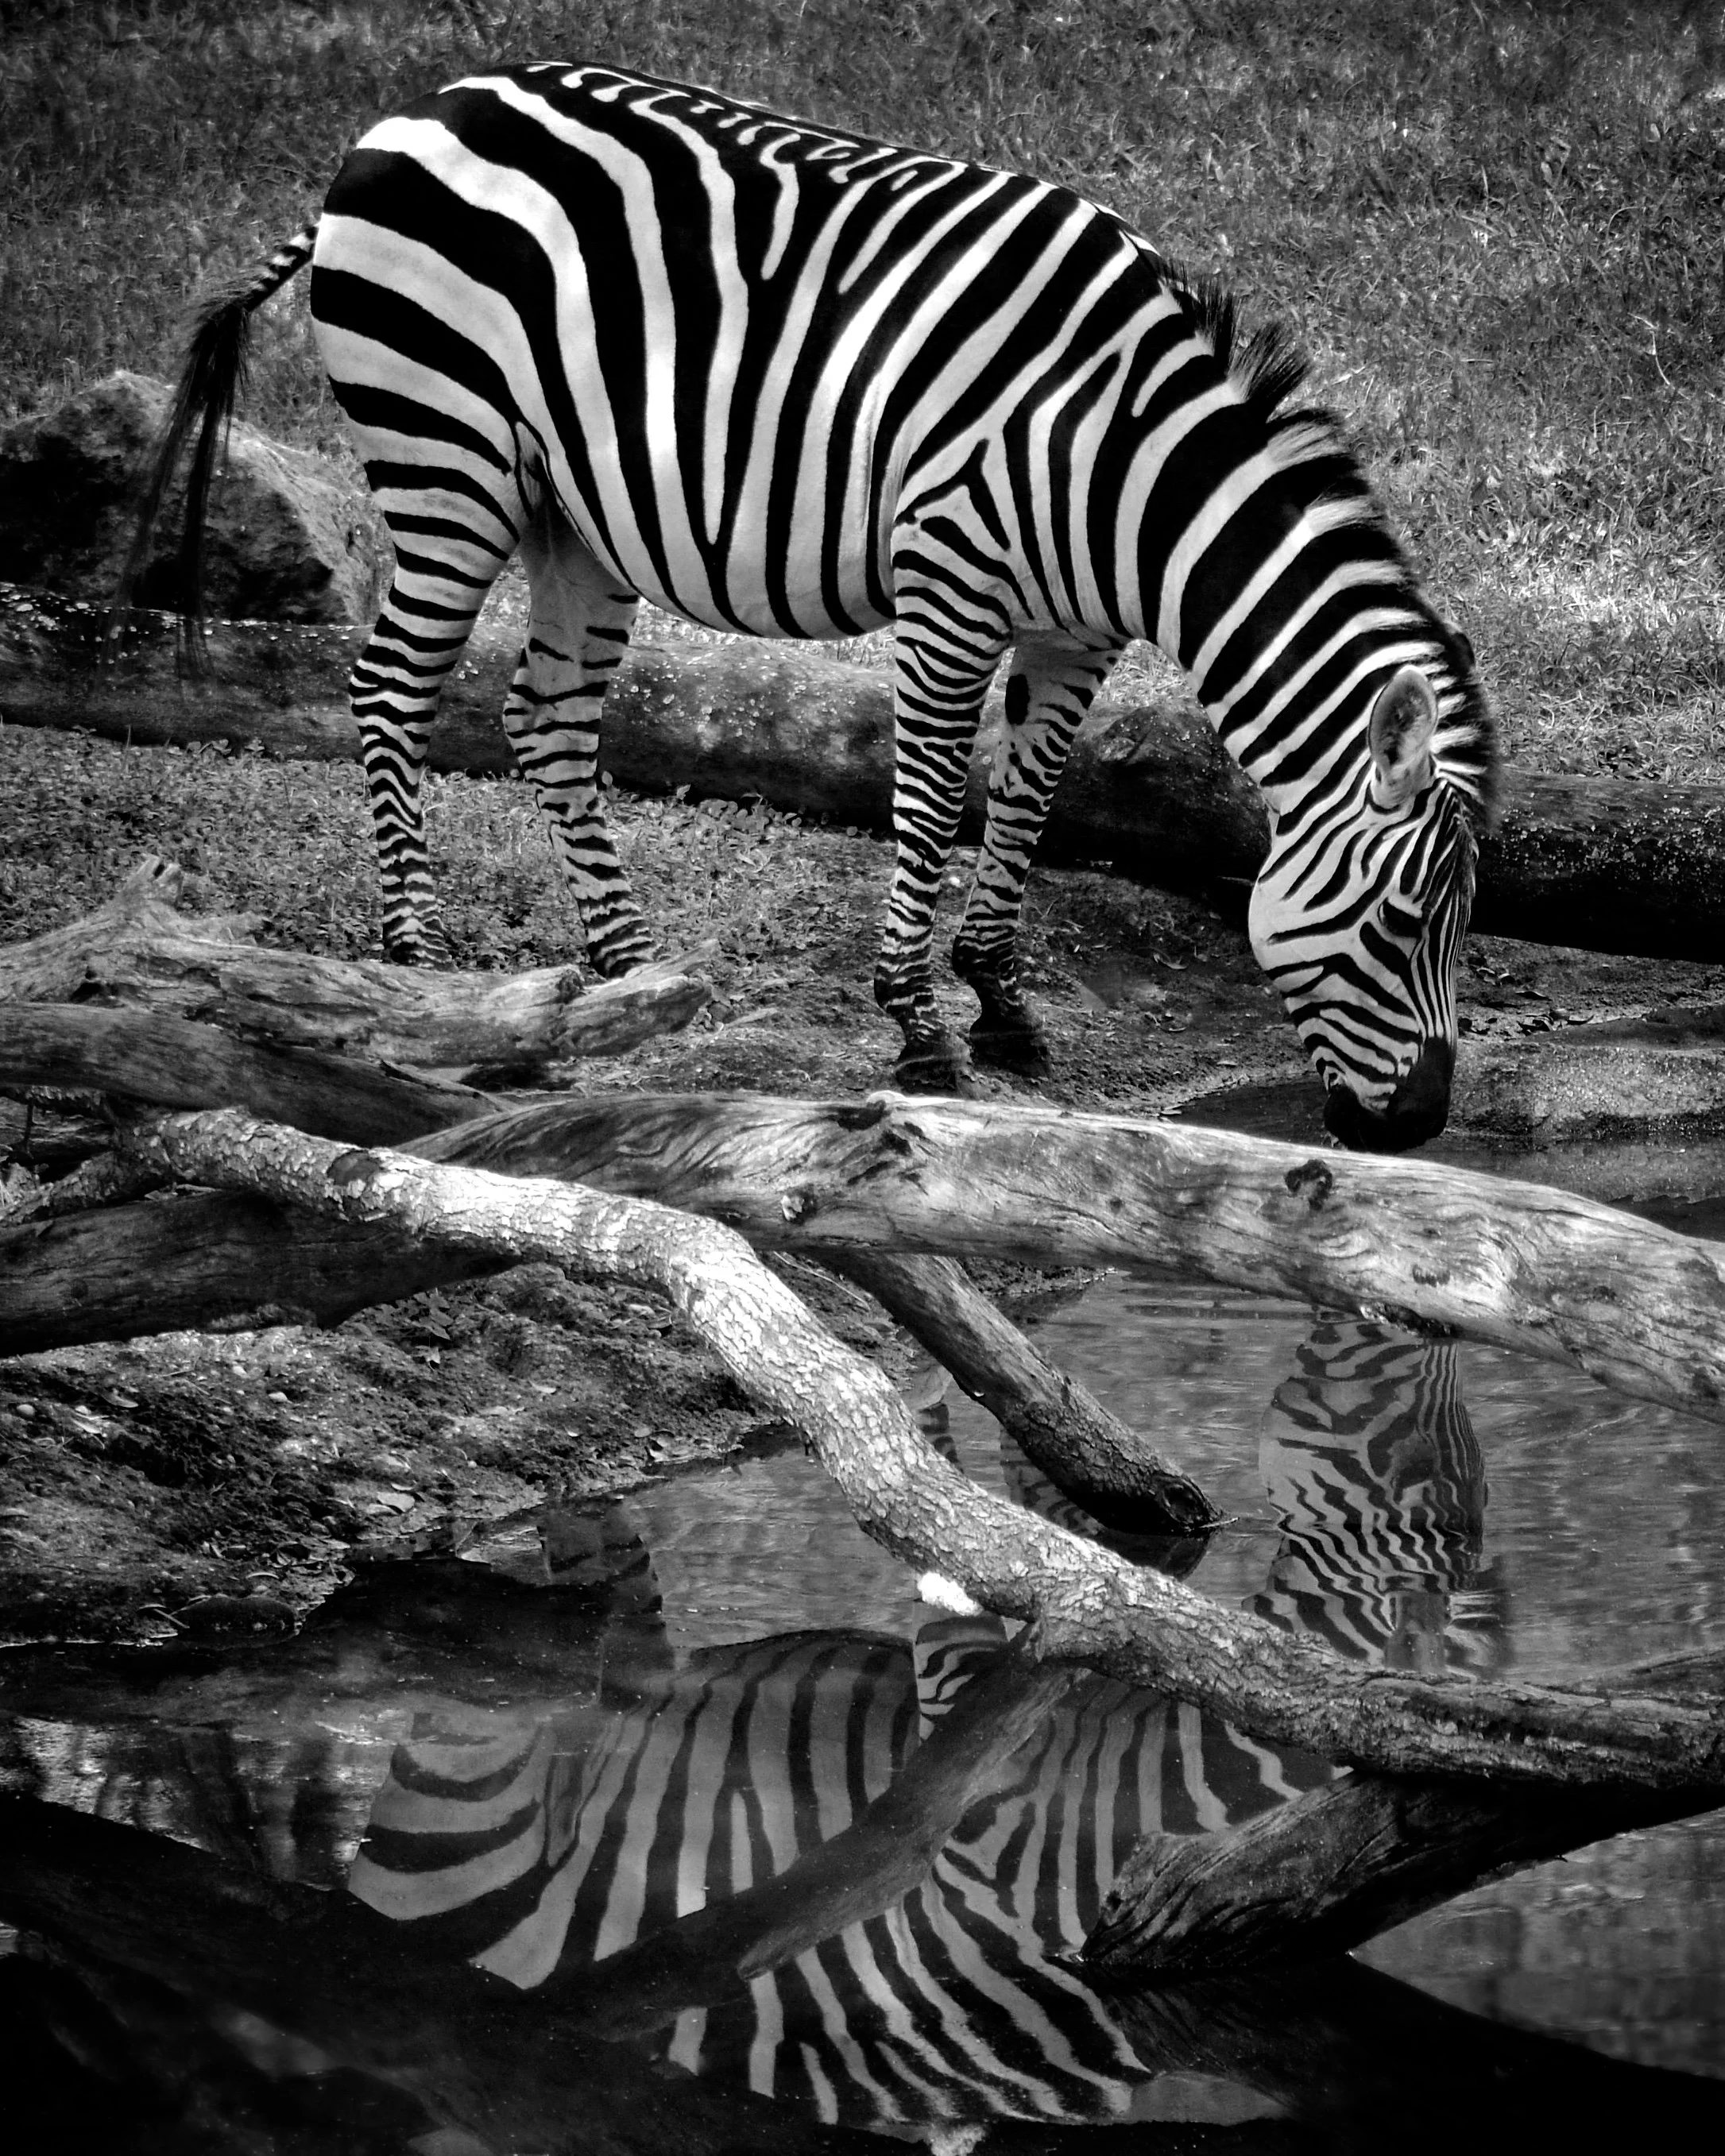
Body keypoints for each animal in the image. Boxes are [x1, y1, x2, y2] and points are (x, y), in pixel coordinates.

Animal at [124, 60, 1497, 1148]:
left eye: (1451, 926)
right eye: (1394, 927)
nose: (1419, 1127)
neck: (1121, 462)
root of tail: (401, 116)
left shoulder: (1074, 632)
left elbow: (1030, 794)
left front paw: (1000, 1000)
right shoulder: (950, 583)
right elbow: (935, 792)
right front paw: (919, 1028)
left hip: (571, 509)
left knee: (545, 716)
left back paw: (628, 968)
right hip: (444, 452)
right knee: (391, 686)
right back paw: (409, 952)